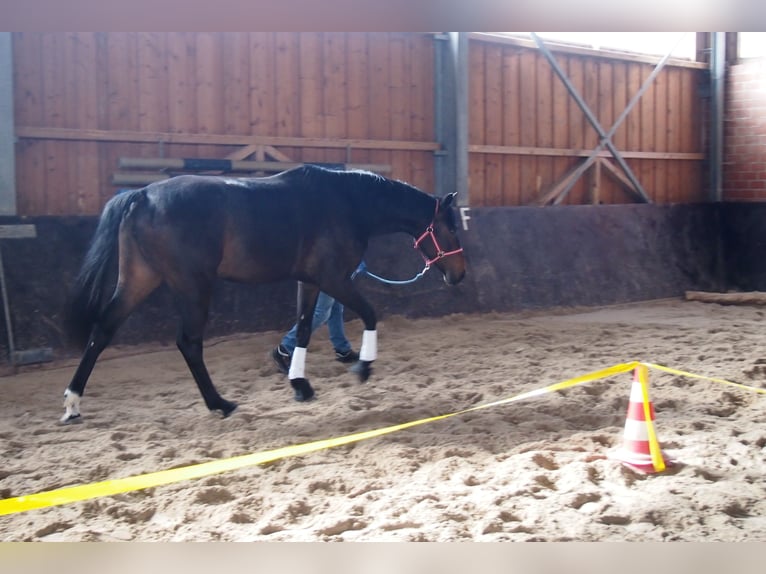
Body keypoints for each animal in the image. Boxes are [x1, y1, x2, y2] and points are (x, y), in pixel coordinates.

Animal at [60, 165, 466, 424]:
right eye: (451, 228)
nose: (459, 275)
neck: (348, 204)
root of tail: (142, 195)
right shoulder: (334, 278)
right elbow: (369, 313)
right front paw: (363, 367)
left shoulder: (310, 281)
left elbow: (303, 329)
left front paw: (300, 385)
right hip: (193, 286)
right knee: (188, 342)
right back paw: (220, 405)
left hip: (140, 278)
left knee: (103, 330)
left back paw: (73, 404)